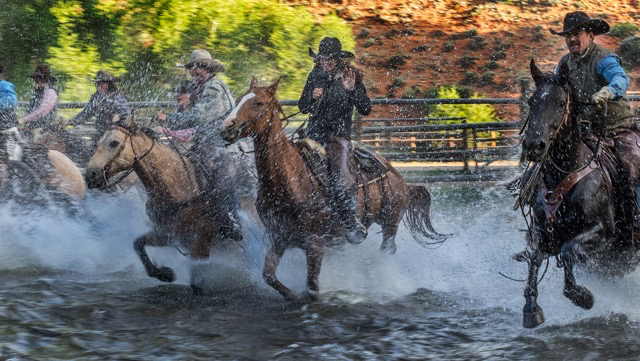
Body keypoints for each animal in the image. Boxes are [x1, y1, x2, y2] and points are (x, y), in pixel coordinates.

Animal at [84, 116, 252, 292]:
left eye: (114, 143)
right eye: (99, 142)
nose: (90, 175)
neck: (177, 187)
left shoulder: (200, 242)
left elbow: (197, 283)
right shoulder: (167, 235)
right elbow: (138, 243)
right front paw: (164, 273)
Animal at [220, 77, 444, 302]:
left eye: (258, 103)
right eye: (238, 100)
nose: (226, 128)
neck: (291, 180)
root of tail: (398, 177)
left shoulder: (314, 243)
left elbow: (312, 287)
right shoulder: (278, 237)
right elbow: (269, 276)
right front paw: (293, 296)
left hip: (390, 222)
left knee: (387, 250)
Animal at [516, 59, 636, 330]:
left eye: (561, 103)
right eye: (531, 101)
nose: (533, 146)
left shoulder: (603, 232)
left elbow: (569, 250)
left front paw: (582, 296)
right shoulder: (544, 232)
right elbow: (535, 257)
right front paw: (531, 308)